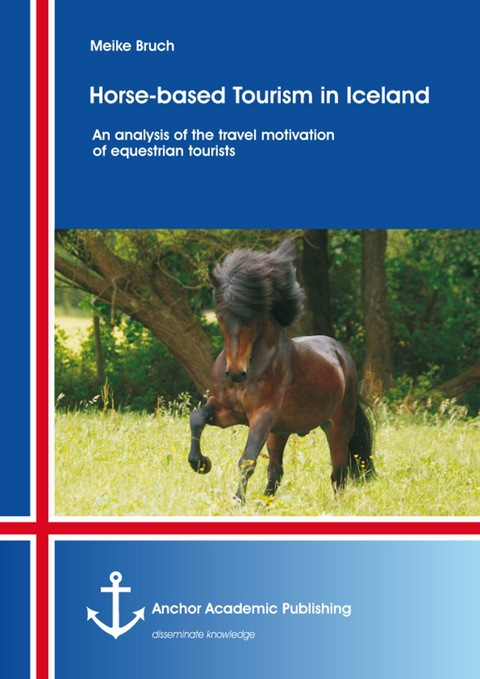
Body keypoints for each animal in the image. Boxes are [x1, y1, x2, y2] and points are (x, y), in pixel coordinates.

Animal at [188, 238, 374, 502]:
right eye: (220, 316)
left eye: (251, 317)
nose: (235, 373)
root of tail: (343, 356)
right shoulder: (226, 411)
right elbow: (197, 417)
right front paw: (201, 463)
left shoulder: (262, 416)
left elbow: (247, 460)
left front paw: (237, 502)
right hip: (280, 432)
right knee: (276, 471)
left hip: (337, 427)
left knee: (339, 472)